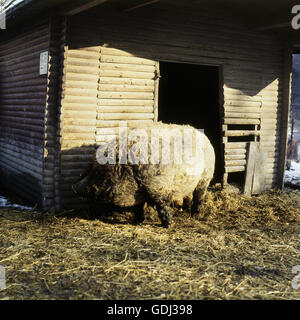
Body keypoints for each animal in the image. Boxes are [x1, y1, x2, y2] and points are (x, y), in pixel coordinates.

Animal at [74, 122, 216, 228]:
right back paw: (186, 209)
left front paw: (168, 225)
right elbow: (138, 207)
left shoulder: (157, 186)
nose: (75, 187)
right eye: (90, 167)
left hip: (205, 177)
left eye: (101, 172)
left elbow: (161, 206)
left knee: (199, 195)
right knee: (188, 196)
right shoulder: (140, 191)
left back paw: (195, 214)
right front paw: (137, 221)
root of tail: (205, 138)